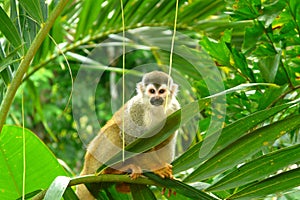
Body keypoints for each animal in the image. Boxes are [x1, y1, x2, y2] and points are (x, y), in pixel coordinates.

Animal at [77, 70, 180, 198]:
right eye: (152, 91)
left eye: (161, 91)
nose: (156, 98)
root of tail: (86, 169)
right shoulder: (137, 108)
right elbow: (132, 138)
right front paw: (158, 168)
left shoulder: (176, 109)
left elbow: (166, 141)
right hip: (95, 161)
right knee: (115, 132)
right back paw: (110, 171)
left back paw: (122, 185)